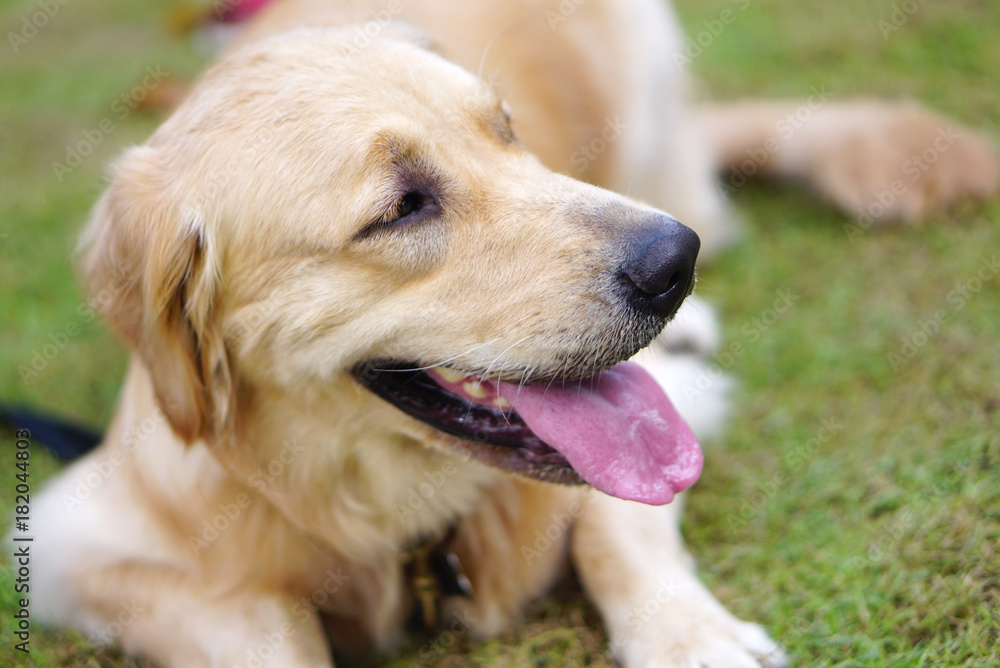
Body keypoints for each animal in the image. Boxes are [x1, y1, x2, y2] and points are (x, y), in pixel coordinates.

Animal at [25, 1, 1000, 668]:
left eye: (506, 132)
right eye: (401, 207)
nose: (671, 262)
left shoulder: (666, 417)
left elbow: (617, 527)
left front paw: (689, 637)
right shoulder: (80, 545)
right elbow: (258, 625)